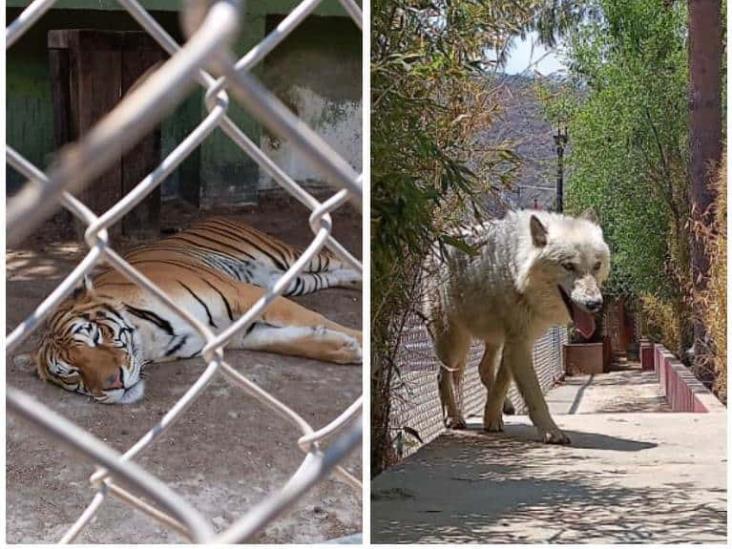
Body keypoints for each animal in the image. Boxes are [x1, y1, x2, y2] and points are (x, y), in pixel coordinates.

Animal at [34, 217, 364, 402]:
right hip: (296, 280)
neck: (151, 340)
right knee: (335, 275)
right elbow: (292, 342)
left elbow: (313, 318)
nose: (113, 383)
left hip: (288, 257)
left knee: (334, 256)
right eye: (72, 373)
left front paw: (358, 340)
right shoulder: (240, 334)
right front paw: (345, 349)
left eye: (95, 338)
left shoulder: (245, 295)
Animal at [420, 208, 608, 444]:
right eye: (568, 266)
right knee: (442, 375)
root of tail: (437, 241)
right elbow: (534, 394)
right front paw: (552, 432)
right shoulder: (518, 342)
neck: (518, 269)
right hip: (455, 339)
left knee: (483, 368)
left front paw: (491, 418)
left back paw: (504, 407)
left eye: (596, 265)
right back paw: (454, 418)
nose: (595, 304)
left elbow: (503, 381)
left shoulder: (519, 339)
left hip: (493, 339)